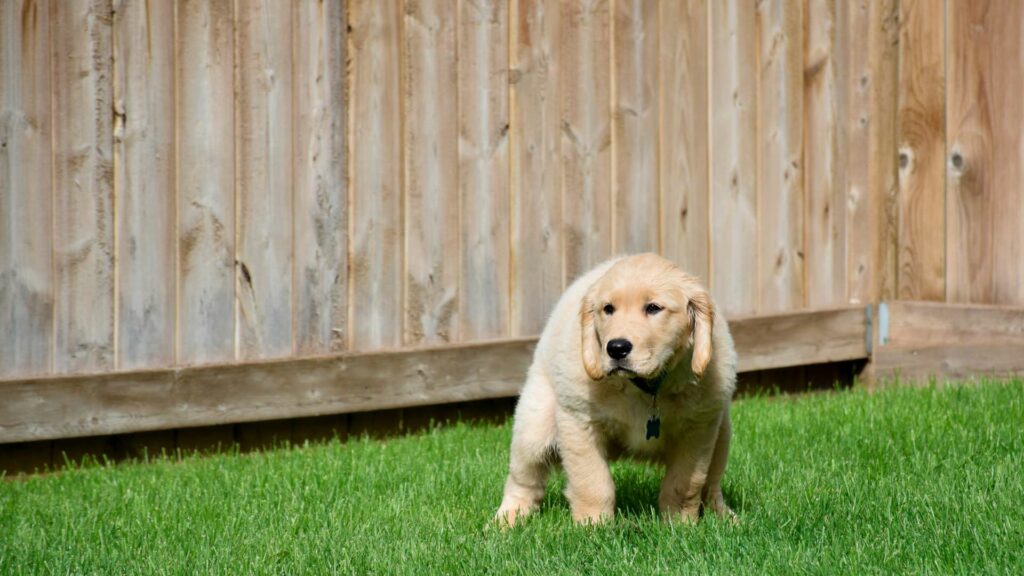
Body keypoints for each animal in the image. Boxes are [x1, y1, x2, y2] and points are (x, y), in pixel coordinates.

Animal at [495, 253, 737, 522]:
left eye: (653, 308)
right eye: (608, 309)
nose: (616, 348)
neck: (645, 387)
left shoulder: (699, 428)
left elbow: (685, 484)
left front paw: (680, 523)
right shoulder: (579, 421)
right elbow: (592, 483)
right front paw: (593, 525)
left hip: (722, 434)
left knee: (711, 484)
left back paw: (724, 517)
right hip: (534, 427)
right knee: (523, 480)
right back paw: (506, 521)